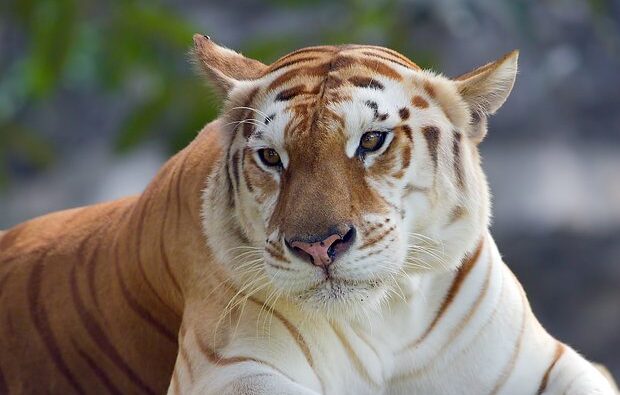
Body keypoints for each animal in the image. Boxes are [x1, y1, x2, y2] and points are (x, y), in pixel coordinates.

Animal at [0, 34, 616, 395]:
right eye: (272, 157)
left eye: (371, 141)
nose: (318, 246)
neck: (387, 318)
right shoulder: (237, 367)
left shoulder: (550, 363)